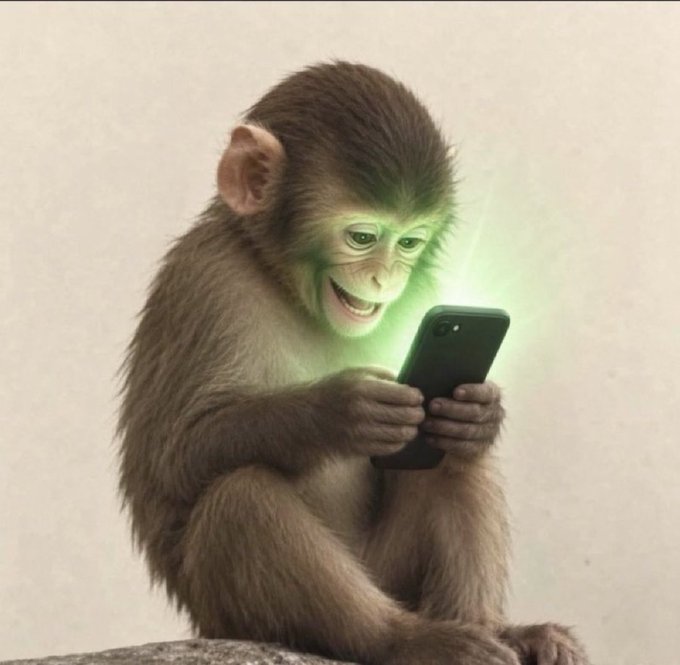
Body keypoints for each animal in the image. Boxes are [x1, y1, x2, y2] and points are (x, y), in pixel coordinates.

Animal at [117, 62, 589, 665]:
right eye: (363, 236)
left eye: (410, 243)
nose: (384, 280)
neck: (286, 285)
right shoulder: (203, 278)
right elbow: (174, 454)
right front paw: (340, 409)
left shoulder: (423, 296)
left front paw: (482, 411)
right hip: (228, 615)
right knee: (240, 496)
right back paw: (406, 640)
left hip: (391, 572)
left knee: (455, 461)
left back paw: (498, 628)